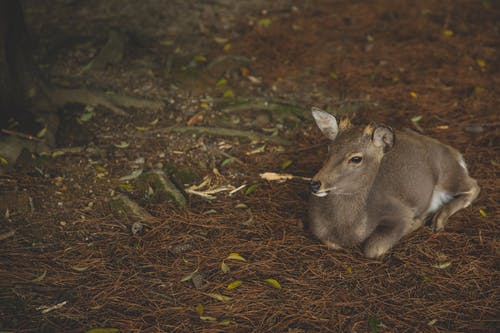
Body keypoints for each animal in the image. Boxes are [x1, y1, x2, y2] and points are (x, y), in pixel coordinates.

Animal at [308, 107, 480, 258]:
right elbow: (330, 243)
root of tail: (455, 153)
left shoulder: (400, 211)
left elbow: (373, 249)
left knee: (474, 186)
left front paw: (416, 222)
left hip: (448, 174)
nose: (315, 184)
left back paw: (438, 221)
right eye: (329, 149)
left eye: (356, 158)